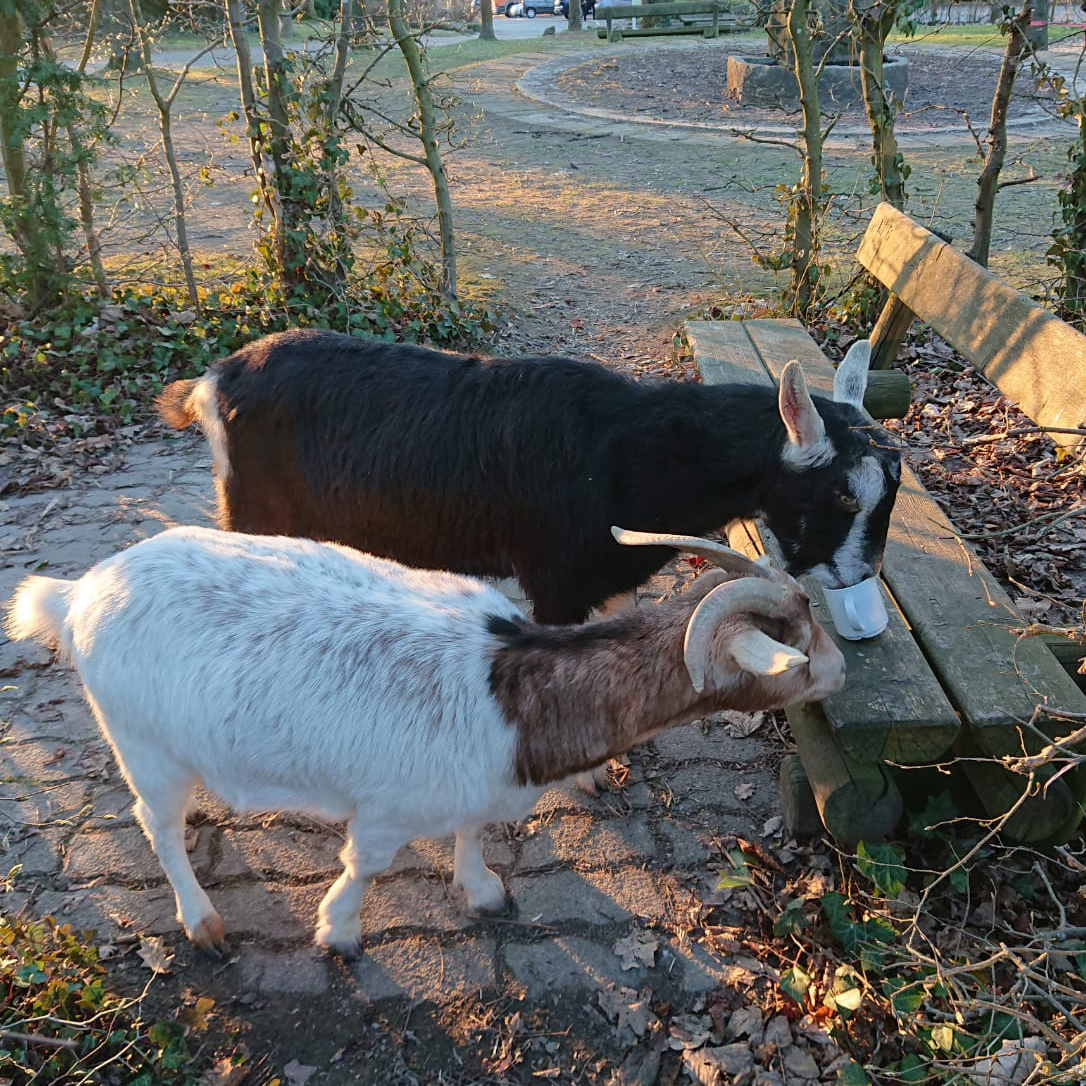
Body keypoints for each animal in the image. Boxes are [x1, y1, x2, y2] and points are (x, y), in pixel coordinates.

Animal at [6, 526, 843, 954]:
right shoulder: (385, 810)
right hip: (139, 742)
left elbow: (472, 832)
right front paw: (337, 930)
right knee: (155, 825)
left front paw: (482, 891)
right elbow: (366, 865)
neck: (516, 691)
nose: (839, 672)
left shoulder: (473, 784)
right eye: (795, 642)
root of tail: (79, 593)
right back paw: (201, 920)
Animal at [157, 332, 901, 625]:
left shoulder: (608, 577)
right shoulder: (553, 582)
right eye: (841, 492)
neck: (628, 451)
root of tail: (214, 381)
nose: (861, 576)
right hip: (254, 513)